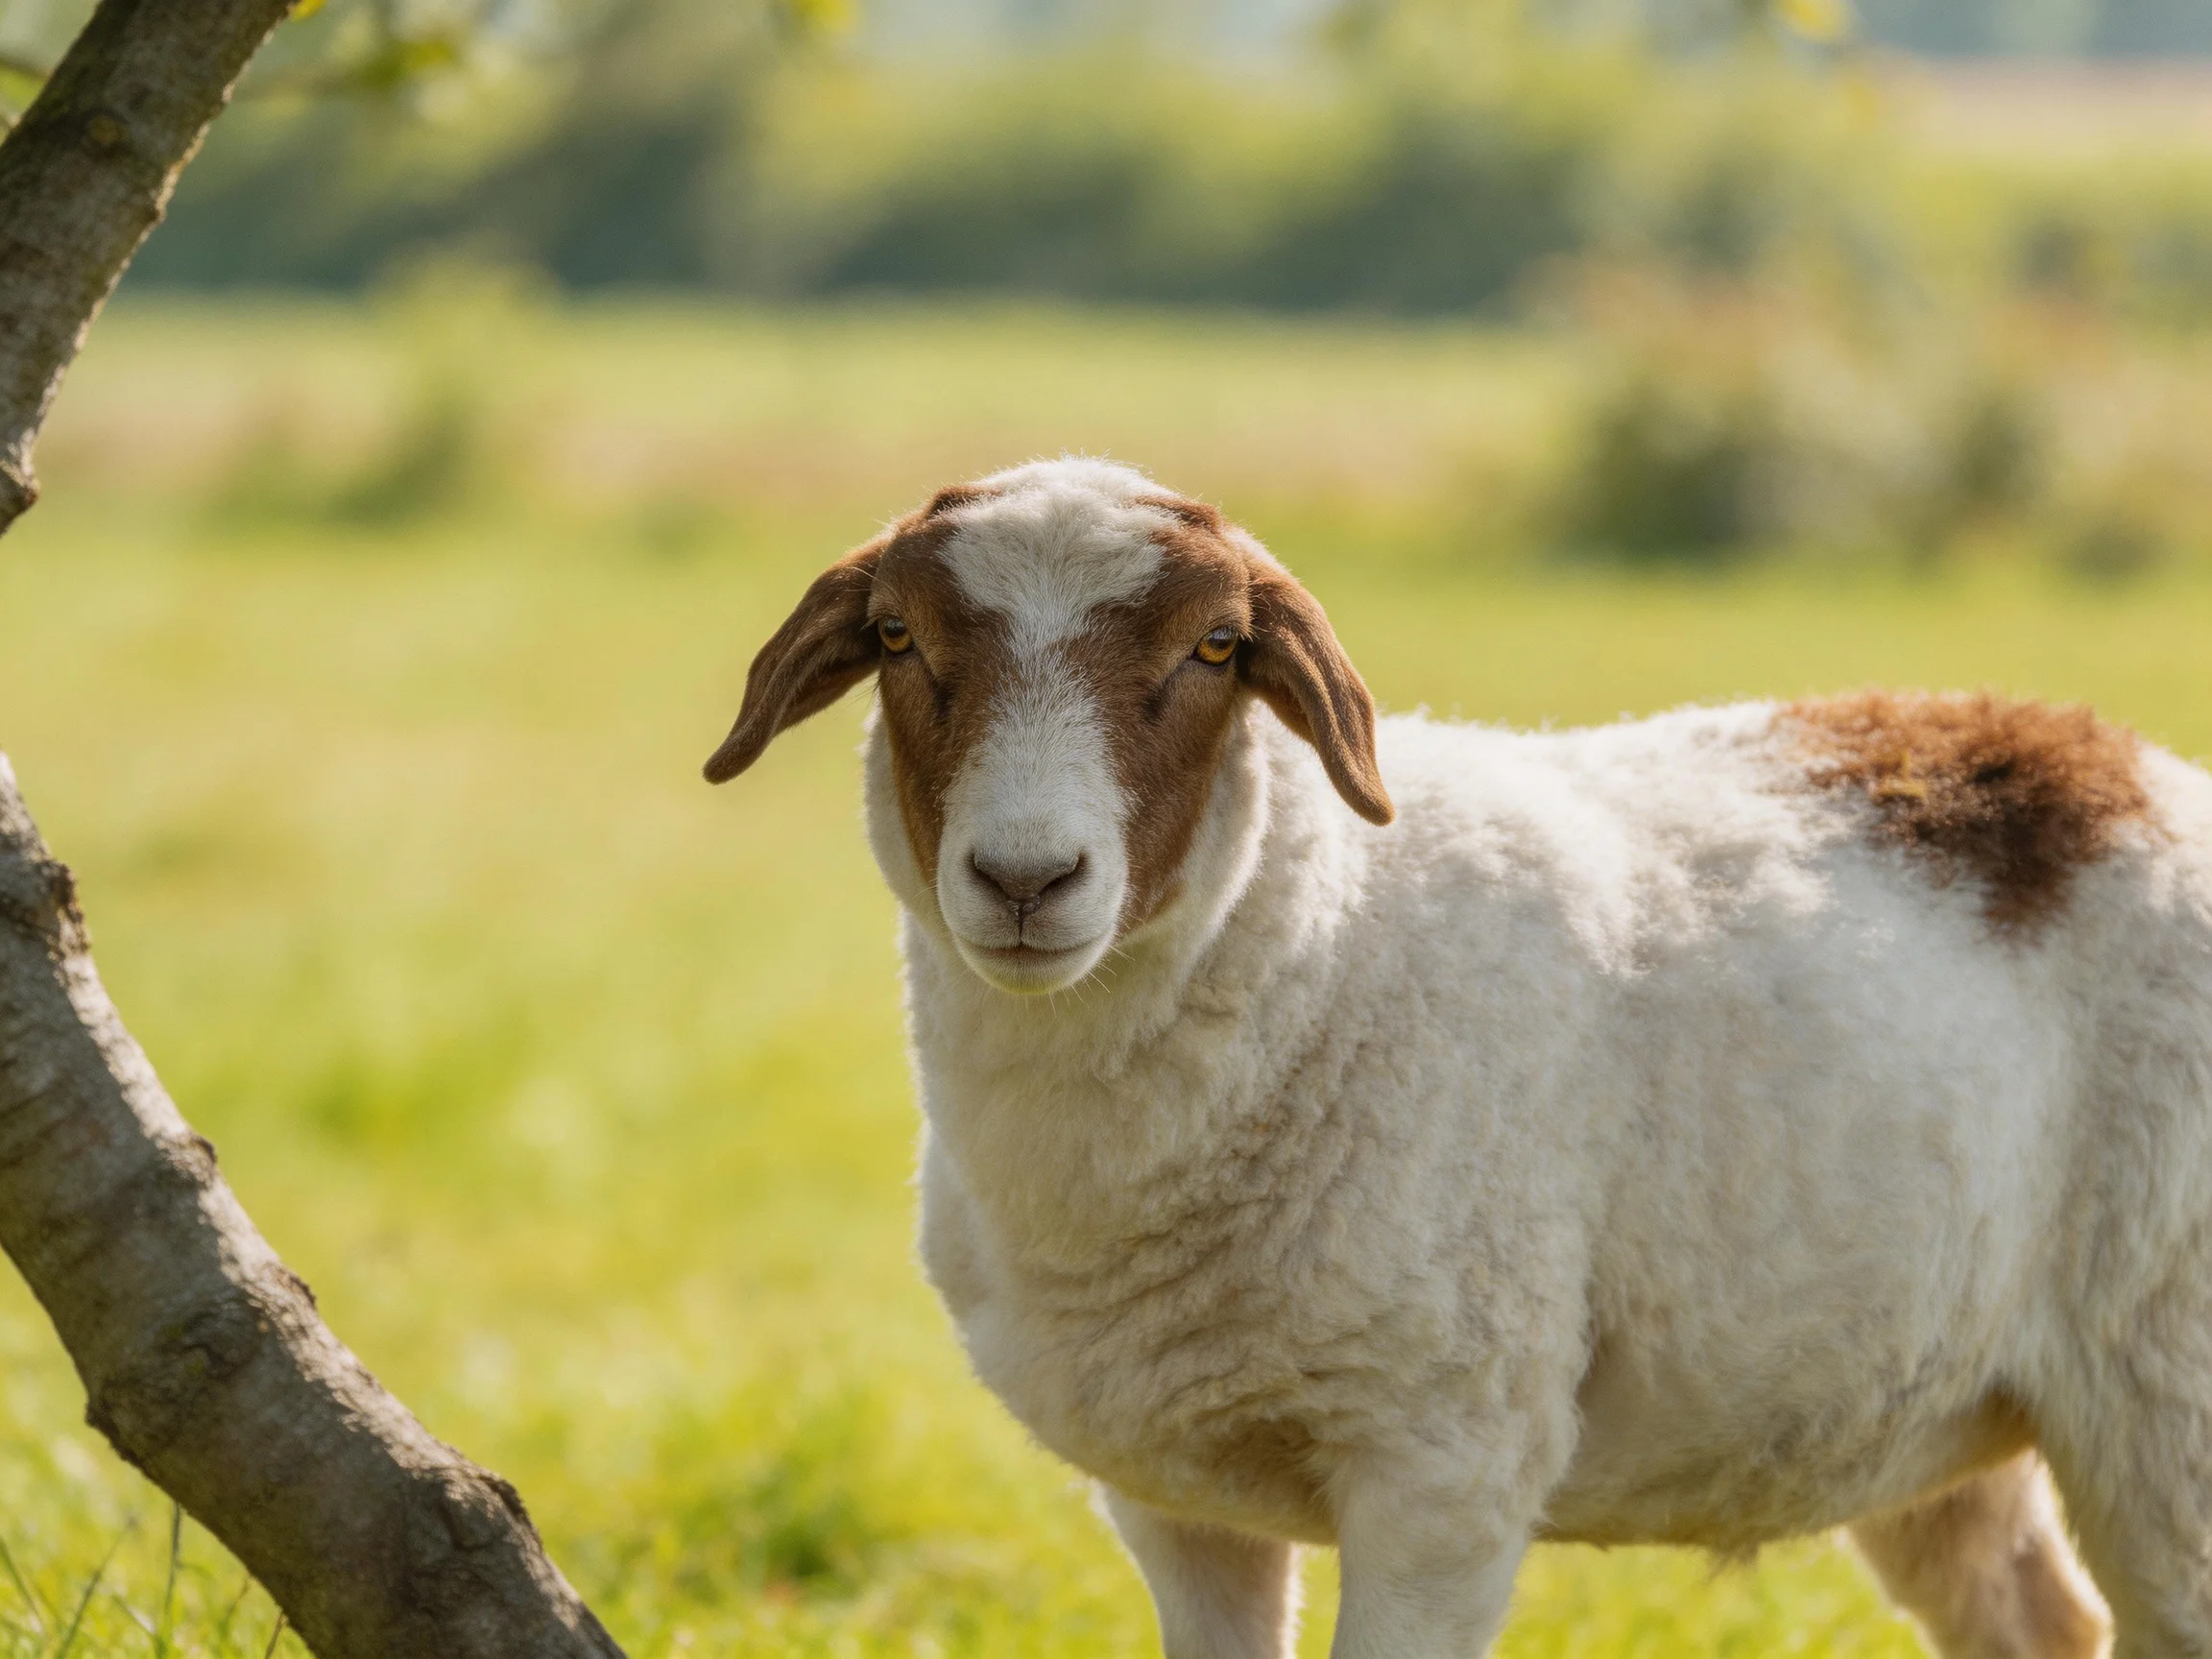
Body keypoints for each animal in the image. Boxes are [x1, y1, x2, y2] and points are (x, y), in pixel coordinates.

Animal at [699, 456, 2212, 1659]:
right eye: (898, 634)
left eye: (1214, 648)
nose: (1026, 878)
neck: (1326, 944)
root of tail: (2134, 769)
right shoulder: (1176, 1502)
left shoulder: (1443, 1469)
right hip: (1934, 1402)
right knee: (2038, 1618)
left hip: (2167, 1393)